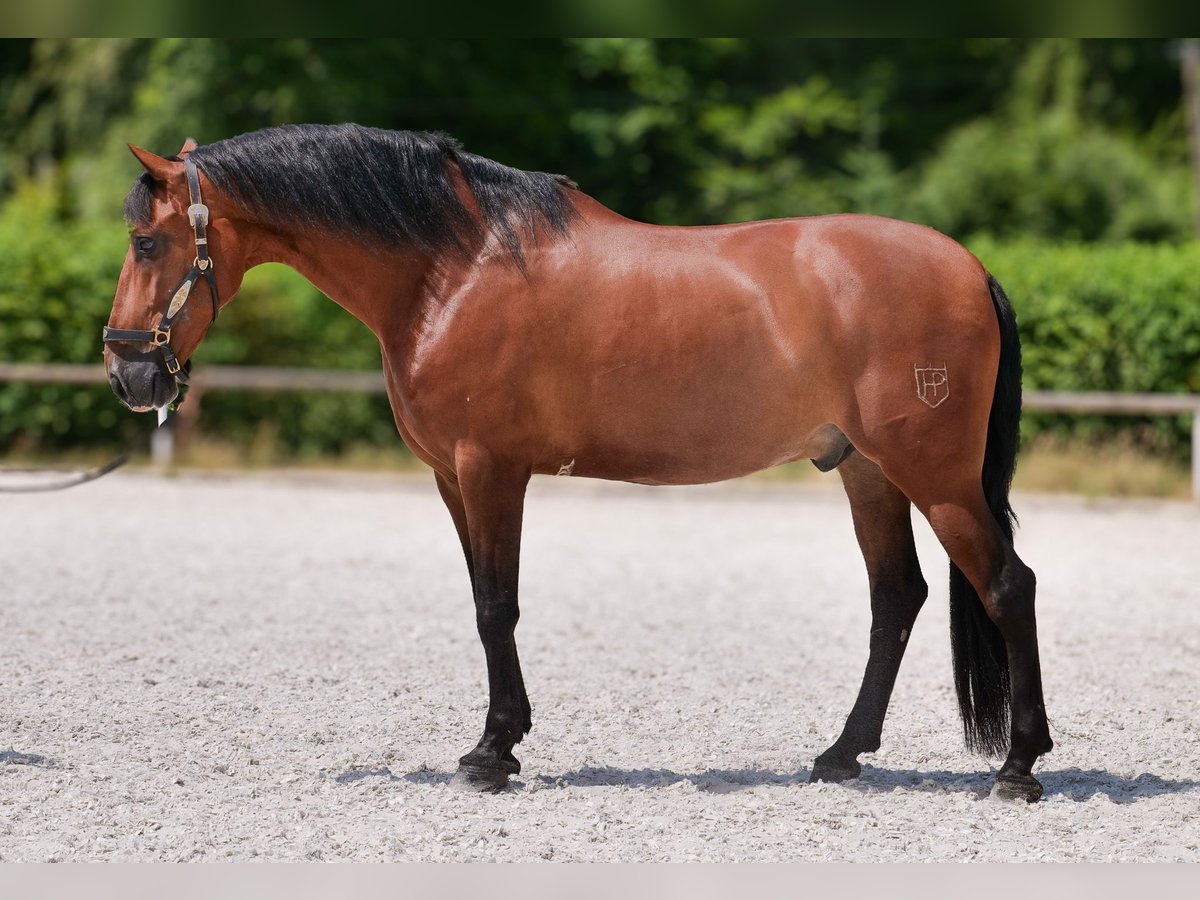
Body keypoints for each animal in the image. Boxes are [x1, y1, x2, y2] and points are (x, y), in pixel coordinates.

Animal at [103, 124, 1052, 801]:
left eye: (148, 244)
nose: (128, 373)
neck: (451, 269)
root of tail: (970, 268)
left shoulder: (489, 469)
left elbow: (497, 606)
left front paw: (491, 753)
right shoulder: (451, 479)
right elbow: (484, 602)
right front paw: (505, 740)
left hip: (935, 476)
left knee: (1008, 585)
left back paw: (1019, 767)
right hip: (866, 471)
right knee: (897, 598)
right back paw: (842, 754)